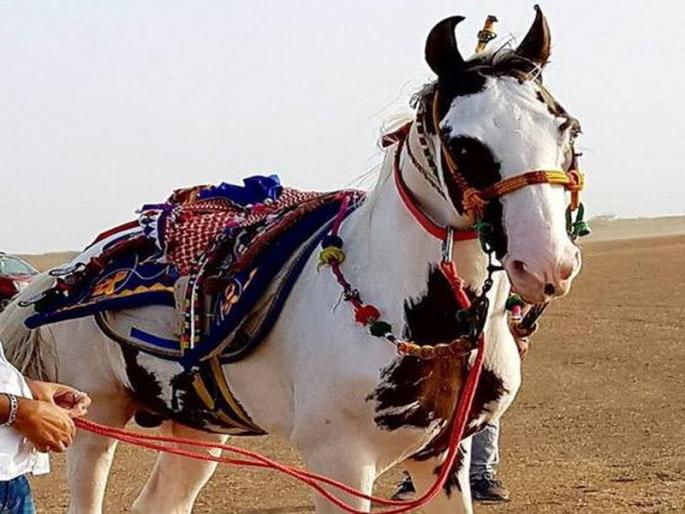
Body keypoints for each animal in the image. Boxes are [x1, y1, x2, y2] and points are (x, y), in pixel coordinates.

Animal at [0, 7, 585, 514]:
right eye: (461, 142)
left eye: (566, 128)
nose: (547, 263)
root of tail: (64, 273)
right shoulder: (341, 464)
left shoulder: (441, 454)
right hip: (94, 416)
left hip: (197, 428)